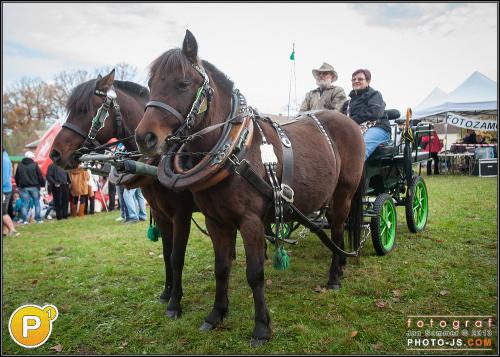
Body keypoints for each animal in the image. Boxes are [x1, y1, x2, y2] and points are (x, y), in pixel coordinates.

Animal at [49, 69, 193, 318]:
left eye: (84, 109)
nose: (55, 154)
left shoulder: (181, 214)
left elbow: (176, 257)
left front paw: (175, 302)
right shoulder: (161, 213)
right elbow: (166, 253)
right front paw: (167, 293)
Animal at [135, 31, 366, 344]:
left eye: (183, 83)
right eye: (150, 85)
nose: (144, 137)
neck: (234, 150)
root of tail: (351, 124)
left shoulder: (250, 221)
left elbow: (255, 273)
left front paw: (261, 327)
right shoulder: (216, 221)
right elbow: (221, 268)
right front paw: (216, 314)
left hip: (344, 194)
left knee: (340, 229)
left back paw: (334, 276)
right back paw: (340, 267)